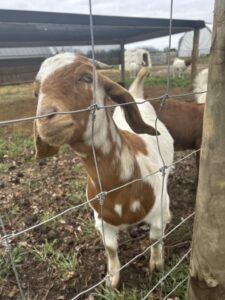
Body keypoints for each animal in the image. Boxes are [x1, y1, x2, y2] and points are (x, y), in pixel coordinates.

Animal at [33, 52, 174, 288]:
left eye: (86, 77)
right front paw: (112, 280)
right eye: (36, 92)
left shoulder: (158, 209)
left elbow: (155, 239)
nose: (45, 119)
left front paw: (157, 265)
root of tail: (137, 96)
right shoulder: (101, 221)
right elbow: (110, 248)